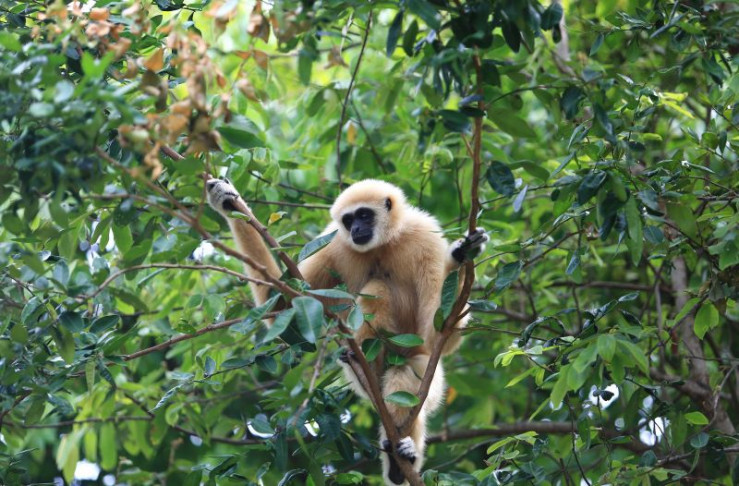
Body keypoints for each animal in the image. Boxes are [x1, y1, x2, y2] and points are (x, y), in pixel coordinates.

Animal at [206, 178, 487, 485]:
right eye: (348, 220)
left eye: (364, 215)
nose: (355, 229)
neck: (382, 244)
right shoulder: (332, 243)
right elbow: (282, 308)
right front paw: (227, 201)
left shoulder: (426, 239)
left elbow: (437, 333)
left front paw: (460, 256)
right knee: (376, 291)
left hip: (423, 368)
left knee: (407, 373)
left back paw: (402, 458)